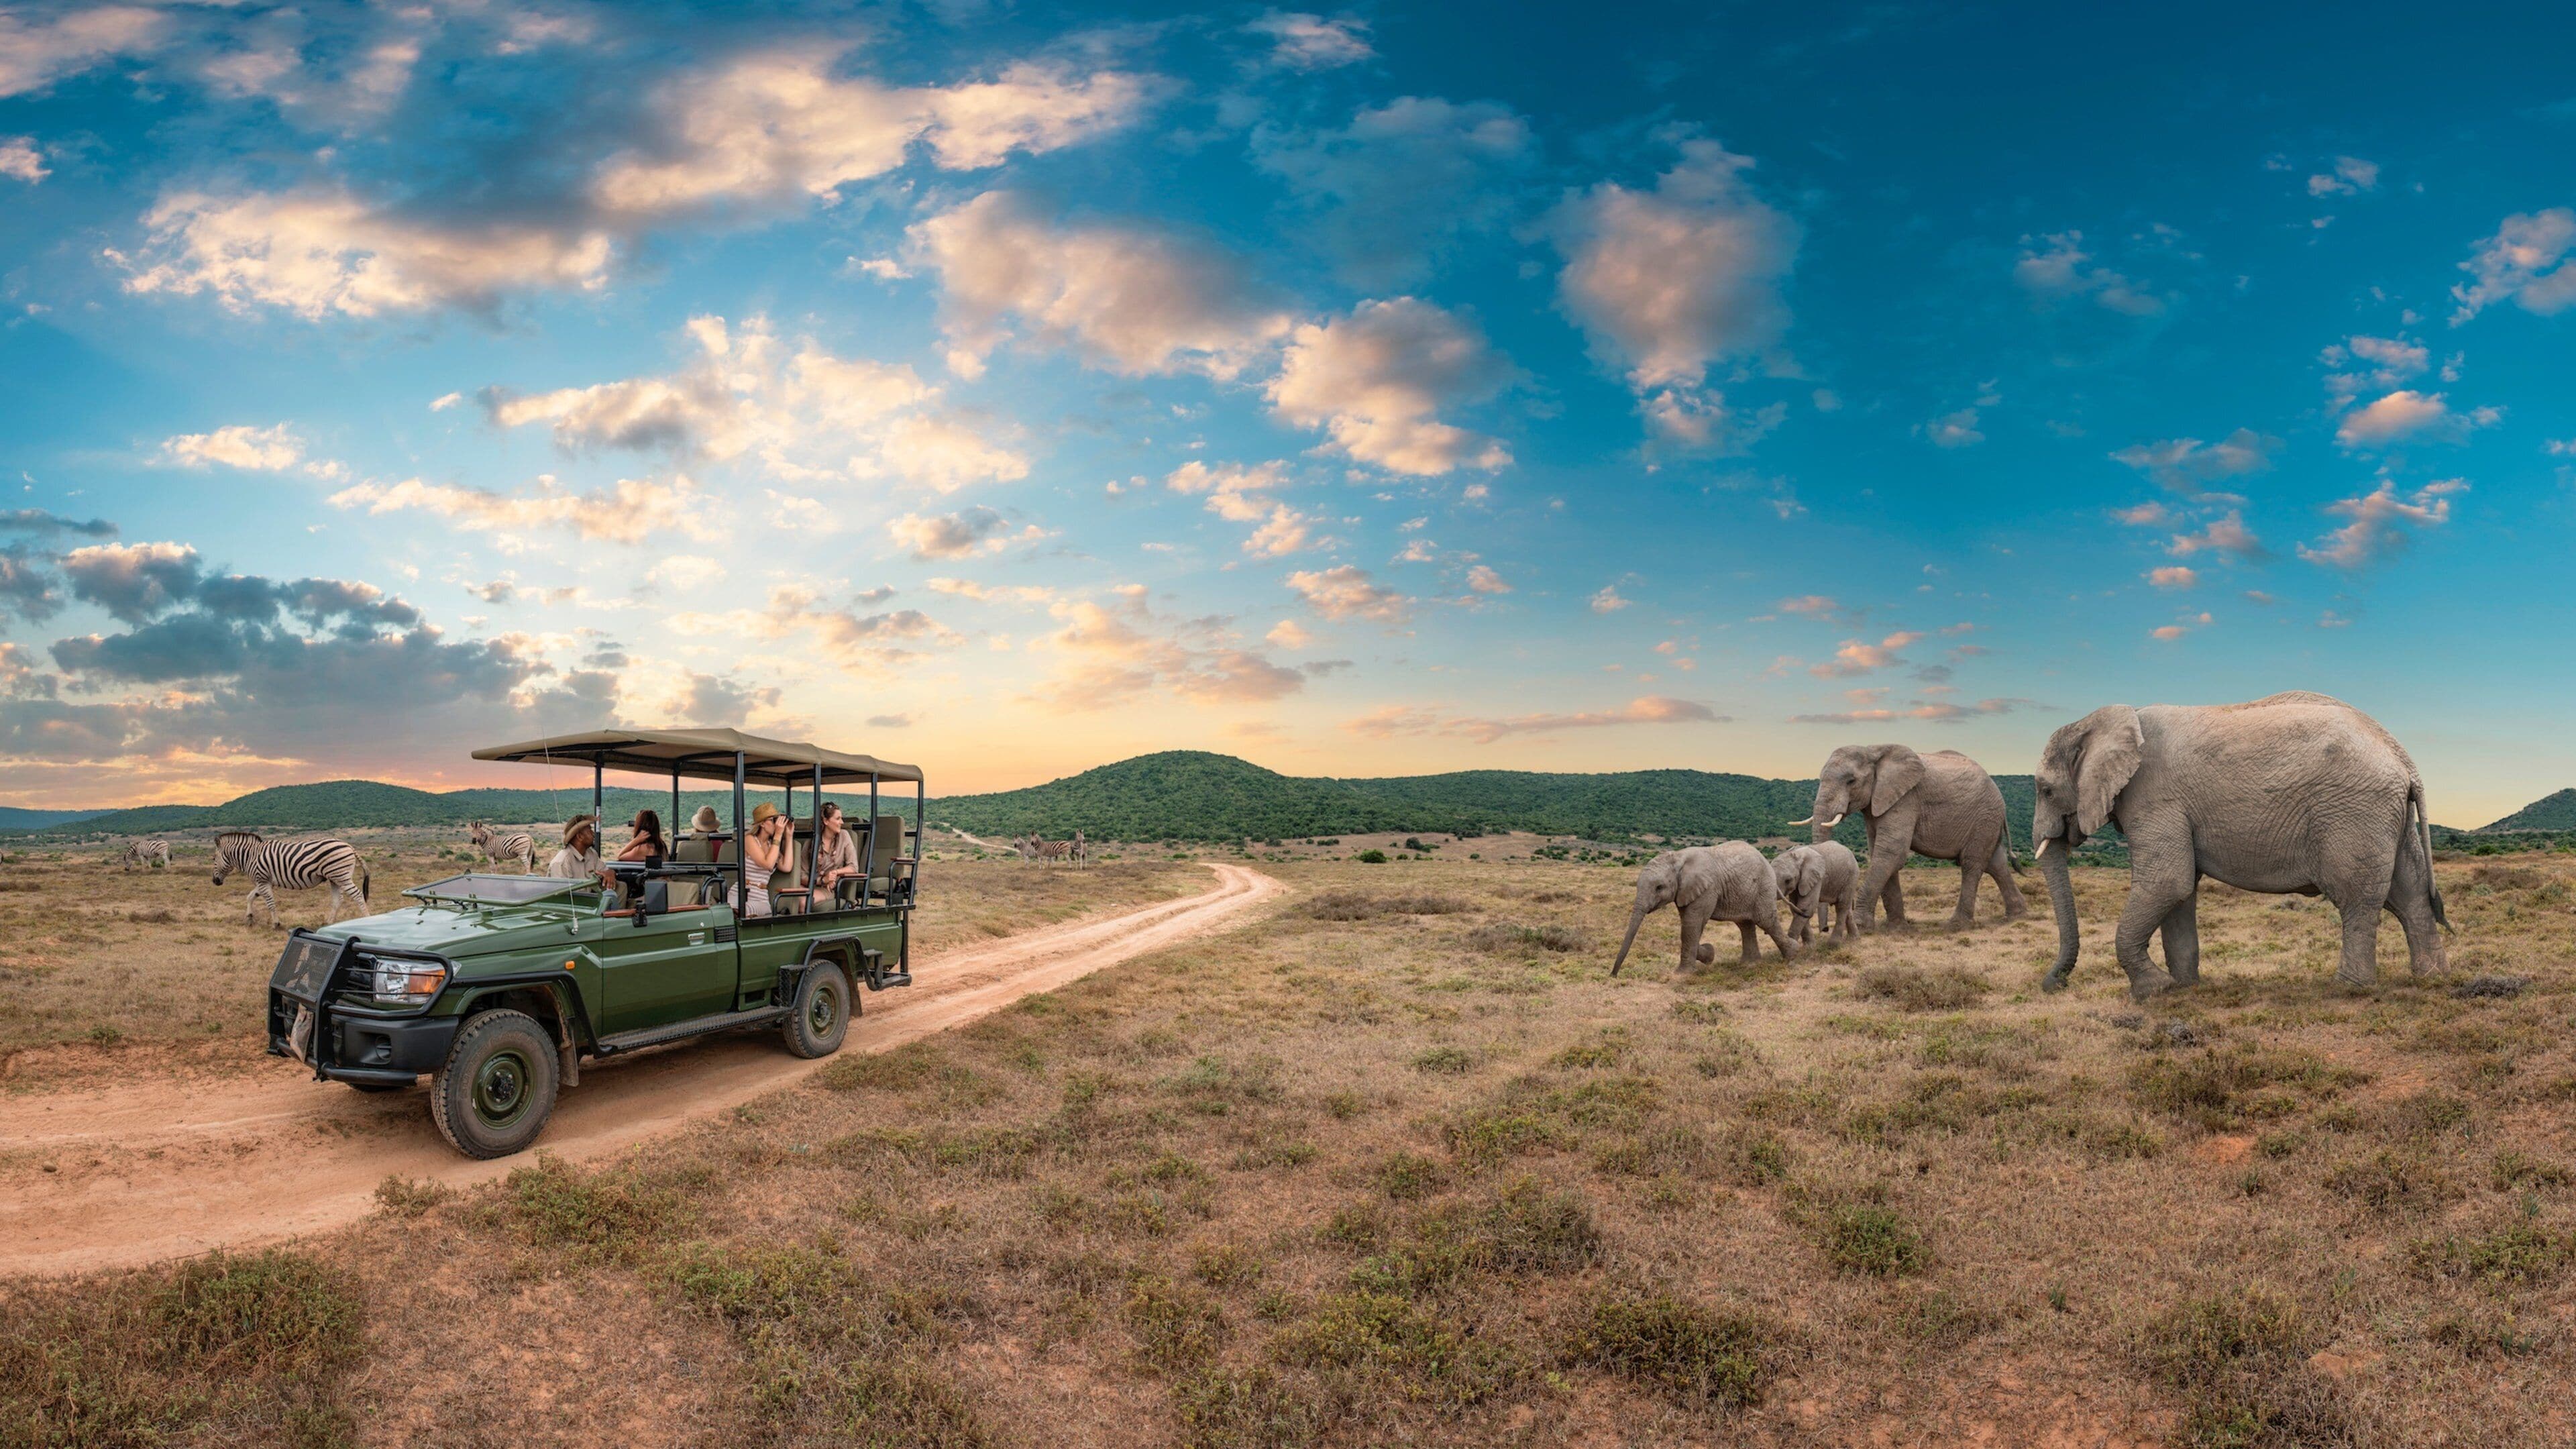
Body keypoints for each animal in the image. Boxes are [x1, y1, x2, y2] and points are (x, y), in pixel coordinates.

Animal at [210, 830, 371, 928]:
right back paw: (328, 923)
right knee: (338, 900)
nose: (214, 881)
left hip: (341, 876)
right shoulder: (265, 881)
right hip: (334, 878)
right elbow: (250, 897)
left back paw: (366, 920)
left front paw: (276, 924)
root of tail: (349, 846)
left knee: (358, 895)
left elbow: (270, 902)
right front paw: (249, 917)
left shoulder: (262, 879)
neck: (251, 856)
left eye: (213, 859)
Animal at [1611, 842, 1794, 975]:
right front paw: (1708, 953)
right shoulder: (1685, 891)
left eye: (1659, 887)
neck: (1678, 858)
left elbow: (1691, 924)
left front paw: (1682, 974)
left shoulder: (1706, 889)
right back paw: (1750, 964)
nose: (1613, 975)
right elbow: (1691, 926)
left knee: (1765, 920)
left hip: (1764, 885)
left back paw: (1793, 953)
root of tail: (1765, 860)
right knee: (1745, 924)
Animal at [1771, 841, 1861, 945]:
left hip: (1852, 876)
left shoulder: (1816, 877)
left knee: (1842, 906)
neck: (1796, 856)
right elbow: (1796, 907)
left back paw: (1833, 944)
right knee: (1847, 907)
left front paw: (1795, 945)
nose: (1825, 929)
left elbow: (1807, 906)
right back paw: (1854, 939)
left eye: (1788, 880)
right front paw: (1809, 947)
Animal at [1792, 744, 2026, 930]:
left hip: (1984, 816)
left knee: (1972, 864)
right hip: (1988, 820)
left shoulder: (1906, 798)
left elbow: (1891, 852)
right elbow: (1881, 853)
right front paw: (1896, 928)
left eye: (1851, 781)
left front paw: (1862, 926)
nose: (1824, 930)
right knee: (1996, 863)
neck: (1873, 749)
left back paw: (1957, 925)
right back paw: (2016, 916)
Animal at [2033, 691, 2448, 1000]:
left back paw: (2348, 989)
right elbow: (2181, 891)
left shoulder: (2153, 798)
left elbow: (2168, 882)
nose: (2054, 984)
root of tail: (2402, 757)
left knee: (2357, 898)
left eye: (2046, 790)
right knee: (2410, 894)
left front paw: (2154, 991)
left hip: (2354, 812)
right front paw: (2183, 988)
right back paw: (2432, 978)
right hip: (2388, 815)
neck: (2105, 720)